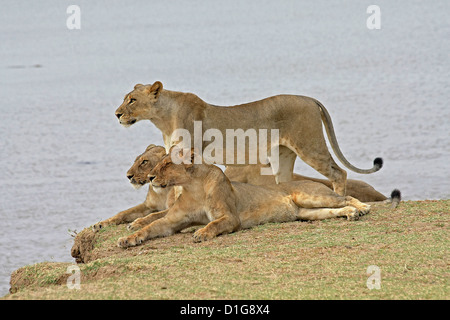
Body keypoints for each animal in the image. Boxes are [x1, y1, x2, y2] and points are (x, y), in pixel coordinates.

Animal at [114, 80, 382, 195]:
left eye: (132, 100)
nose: (116, 114)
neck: (162, 118)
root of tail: (308, 98)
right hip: (284, 155)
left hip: (310, 145)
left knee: (339, 173)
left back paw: (340, 199)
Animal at [116, 148, 380, 248]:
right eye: (157, 163)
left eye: (166, 164)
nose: (150, 177)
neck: (192, 186)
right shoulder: (172, 221)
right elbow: (150, 226)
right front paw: (128, 239)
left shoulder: (230, 218)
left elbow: (213, 224)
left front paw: (201, 233)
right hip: (308, 213)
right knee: (335, 209)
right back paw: (350, 214)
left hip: (311, 195)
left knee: (346, 197)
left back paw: (362, 208)